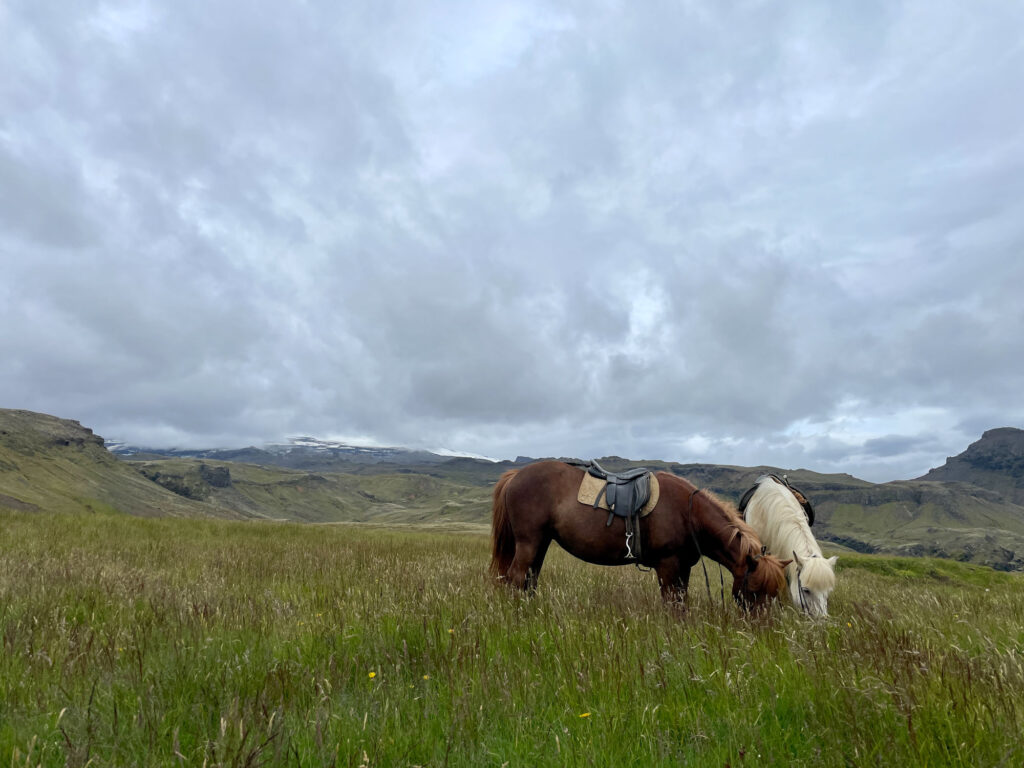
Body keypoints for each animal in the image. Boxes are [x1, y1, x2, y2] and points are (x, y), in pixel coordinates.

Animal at [488, 460, 790, 613]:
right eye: (754, 591)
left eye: (774, 593)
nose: (764, 632)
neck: (688, 513)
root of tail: (516, 475)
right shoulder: (668, 566)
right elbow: (671, 605)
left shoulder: (683, 568)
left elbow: (681, 603)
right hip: (528, 542)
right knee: (516, 578)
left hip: (541, 543)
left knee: (529, 580)